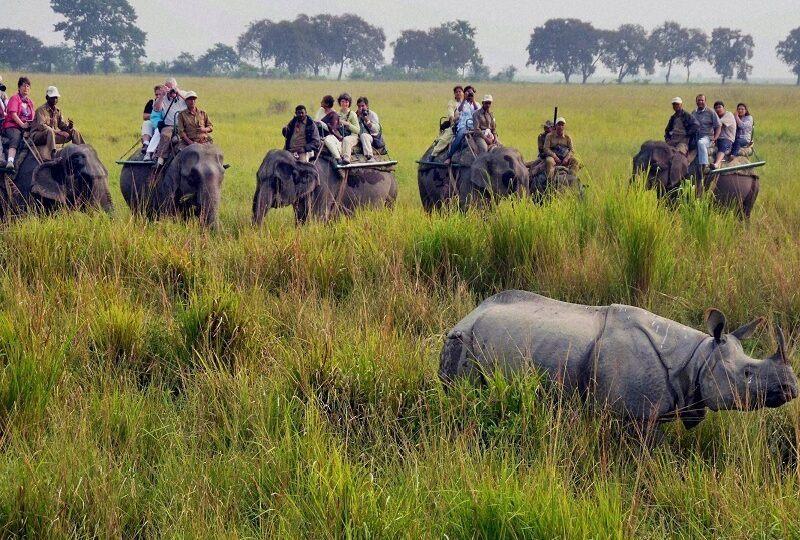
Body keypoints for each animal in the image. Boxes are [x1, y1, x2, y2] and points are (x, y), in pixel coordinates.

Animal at [252, 149, 397, 225]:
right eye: (257, 177)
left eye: (276, 181)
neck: (299, 161)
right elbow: (300, 219)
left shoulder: (324, 188)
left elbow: (317, 219)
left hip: (392, 193)